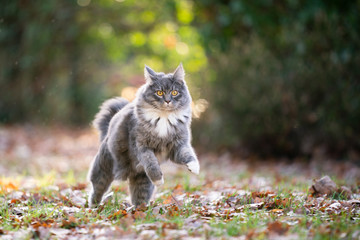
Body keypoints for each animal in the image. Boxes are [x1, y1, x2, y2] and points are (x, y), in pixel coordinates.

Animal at [88, 63, 200, 206]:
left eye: (174, 92)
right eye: (159, 92)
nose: (168, 101)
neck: (164, 118)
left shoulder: (178, 145)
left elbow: (188, 154)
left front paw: (194, 167)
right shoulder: (141, 146)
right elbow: (151, 163)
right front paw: (158, 180)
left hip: (142, 181)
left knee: (138, 198)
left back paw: (140, 210)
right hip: (103, 170)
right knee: (96, 190)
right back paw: (94, 207)